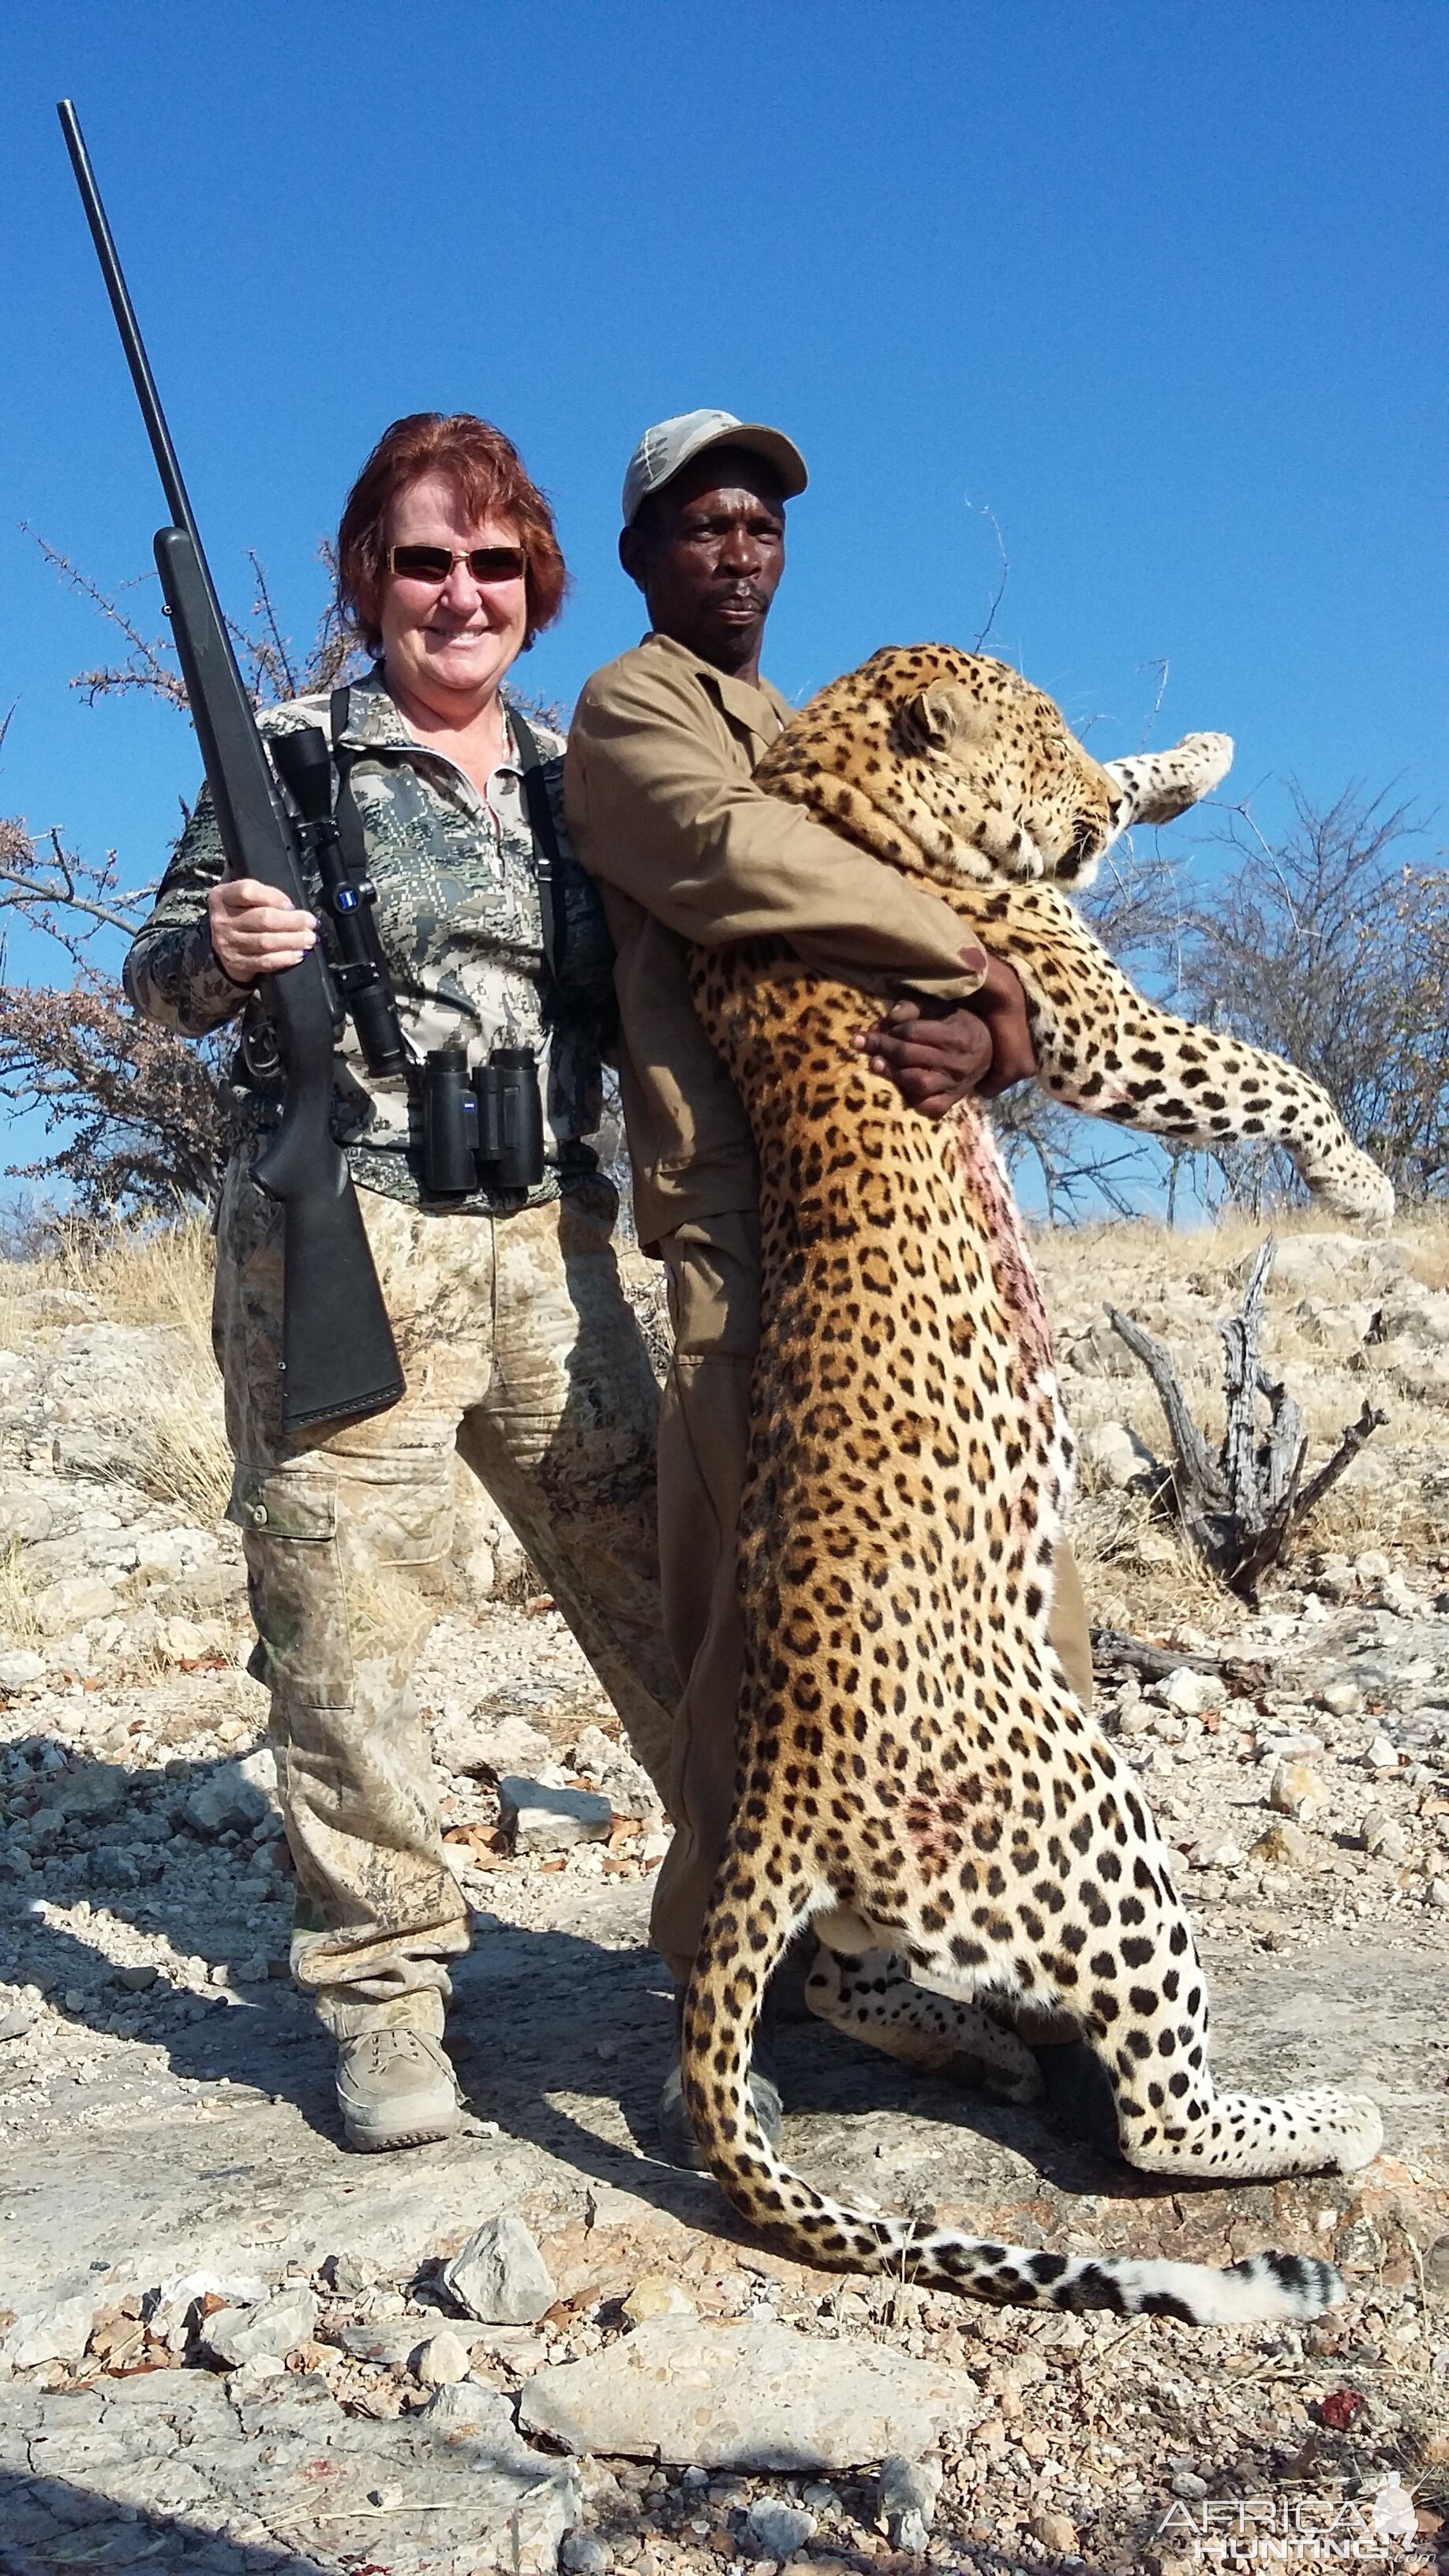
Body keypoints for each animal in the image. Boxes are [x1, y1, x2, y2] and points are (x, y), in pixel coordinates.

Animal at [680, 649, 1382, 2338]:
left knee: (838, 1974)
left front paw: (1184, 756)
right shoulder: (1084, 1018)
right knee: (1157, 2115)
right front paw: (1360, 1180)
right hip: (1094, 1810)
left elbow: (1123, 811)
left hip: (895, 1900)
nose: (1059, 789)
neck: (819, 772)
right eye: (1034, 729)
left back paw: (985, 2043)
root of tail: (778, 1794)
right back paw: (1322, 2114)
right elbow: (1267, 1070)